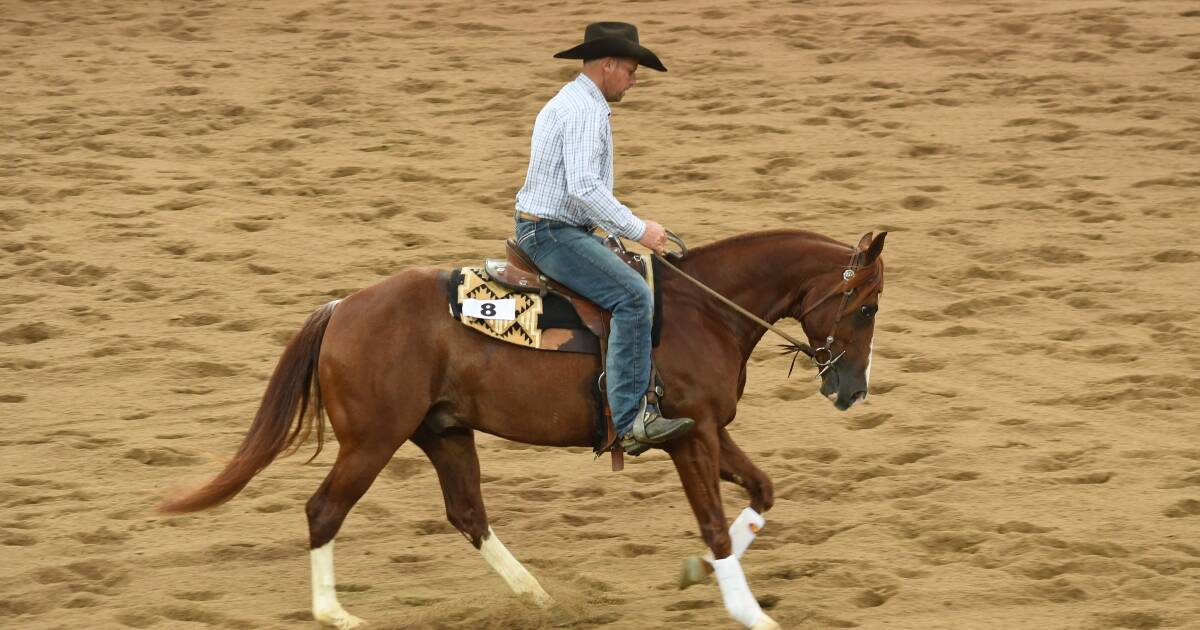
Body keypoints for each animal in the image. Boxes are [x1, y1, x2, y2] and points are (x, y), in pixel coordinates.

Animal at [162, 228, 883, 624]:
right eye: (868, 307)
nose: (852, 390)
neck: (701, 311)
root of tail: (341, 309)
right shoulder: (687, 436)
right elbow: (713, 522)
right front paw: (748, 611)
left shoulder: (712, 430)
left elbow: (761, 492)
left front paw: (700, 573)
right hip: (372, 441)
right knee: (324, 510)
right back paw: (337, 614)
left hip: (444, 432)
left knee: (467, 514)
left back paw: (539, 599)